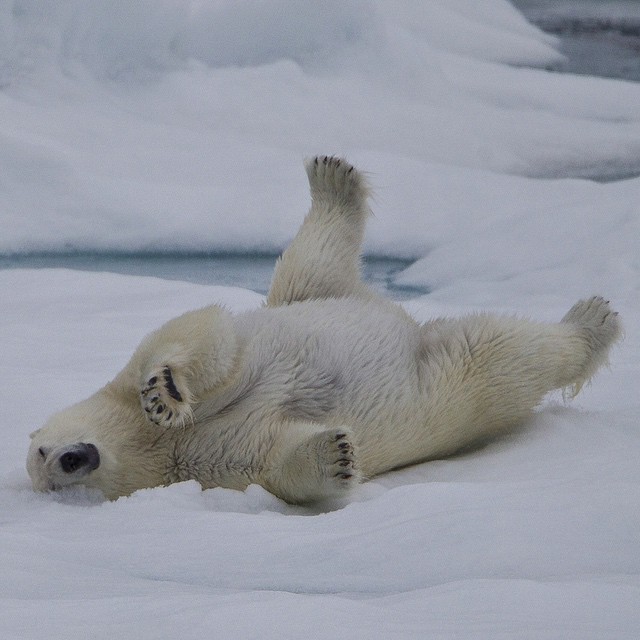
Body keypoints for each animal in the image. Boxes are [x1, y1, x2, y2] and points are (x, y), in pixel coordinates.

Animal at [27, 156, 624, 504]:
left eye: (41, 452)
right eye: (48, 473)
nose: (73, 458)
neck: (148, 445)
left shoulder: (153, 392)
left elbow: (204, 336)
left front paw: (165, 392)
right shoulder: (204, 465)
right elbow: (272, 458)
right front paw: (336, 455)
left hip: (308, 301)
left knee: (306, 267)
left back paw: (331, 178)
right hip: (457, 380)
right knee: (501, 353)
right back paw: (593, 323)